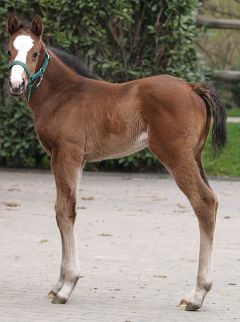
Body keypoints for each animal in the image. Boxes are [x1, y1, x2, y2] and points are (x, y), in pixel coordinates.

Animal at [7, 13, 227, 310]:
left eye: (35, 53)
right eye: (9, 50)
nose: (16, 85)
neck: (62, 94)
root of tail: (192, 87)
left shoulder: (65, 154)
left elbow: (63, 211)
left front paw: (67, 286)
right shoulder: (78, 160)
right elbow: (67, 209)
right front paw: (59, 283)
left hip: (176, 156)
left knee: (204, 203)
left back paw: (197, 295)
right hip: (195, 156)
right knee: (211, 202)